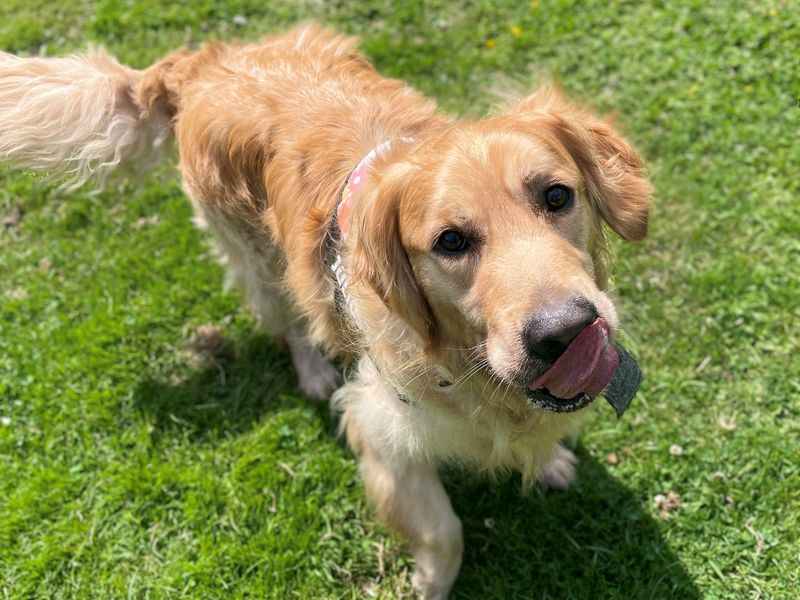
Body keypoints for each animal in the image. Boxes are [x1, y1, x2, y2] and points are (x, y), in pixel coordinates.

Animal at [0, 24, 648, 600]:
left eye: (557, 196)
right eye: (451, 242)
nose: (564, 333)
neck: (462, 360)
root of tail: (202, 61)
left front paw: (550, 462)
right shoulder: (378, 424)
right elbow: (443, 530)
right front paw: (431, 582)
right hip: (256, 255)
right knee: (286, 320)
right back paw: (312, 369)